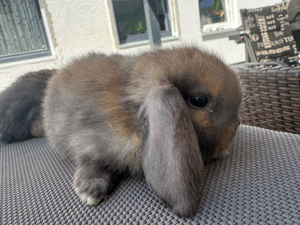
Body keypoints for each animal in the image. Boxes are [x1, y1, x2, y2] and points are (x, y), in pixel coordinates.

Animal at [0, 46, 243, 217]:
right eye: (199, 101)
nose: (235, 128)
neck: (130, 111)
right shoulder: (89, 143)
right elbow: (91, 162)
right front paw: (90, 190)